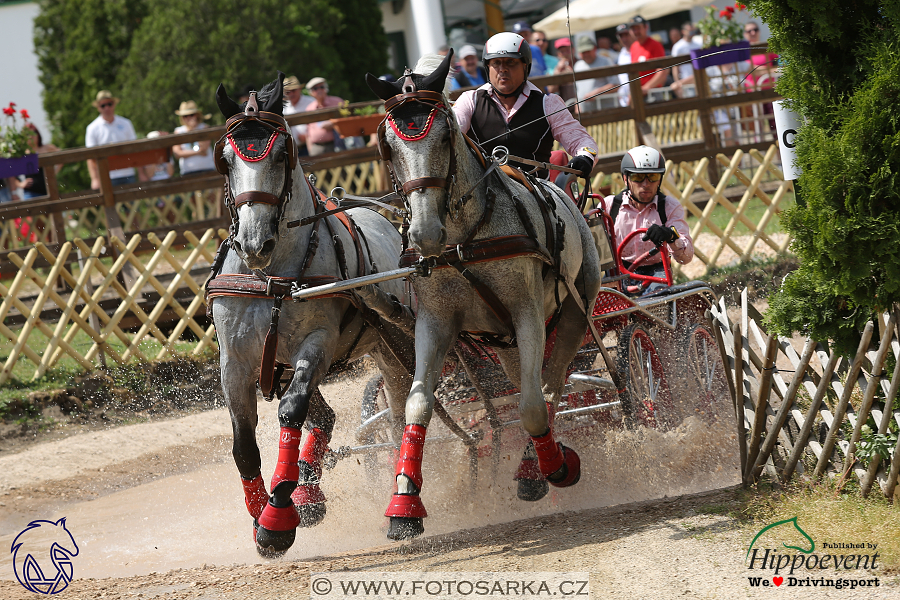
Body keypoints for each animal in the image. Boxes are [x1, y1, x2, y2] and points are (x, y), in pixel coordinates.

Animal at [211, 75, 412, 556]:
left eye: (282, 155)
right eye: (225, 160)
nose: (254, 243)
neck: (272, 277)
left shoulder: (317, 343)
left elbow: (291, 411)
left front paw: (277, 518)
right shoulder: (236, 361)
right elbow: (243, 444)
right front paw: (260, 513)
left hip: (392, 350)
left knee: (397, 415)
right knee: (327, 418)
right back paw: (310, 491)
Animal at [366, 51, 604, 540]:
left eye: (444, 136)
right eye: (388, 145)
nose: (424, 233)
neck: (463, 240)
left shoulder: (527, 314)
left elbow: (533, 404)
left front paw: (549, 469)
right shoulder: (435, 322)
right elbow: (418, 404)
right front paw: (404, 505)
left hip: (573, 312)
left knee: (549, 386)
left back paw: (538, 467)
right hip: (505, 342)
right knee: (527, 384)